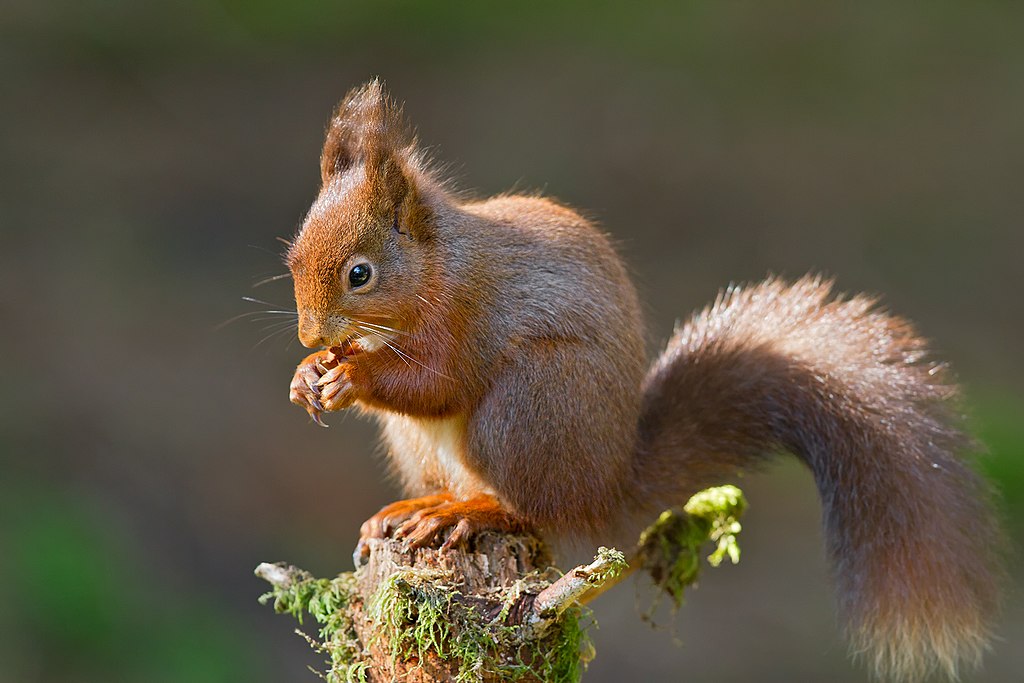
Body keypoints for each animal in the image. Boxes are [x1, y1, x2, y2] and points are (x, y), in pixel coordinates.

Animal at [284, 81, 1003, 683]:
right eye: (292, 257)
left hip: (527, 407)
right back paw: (422, 505)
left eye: (360, 274)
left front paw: (350, 376)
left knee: (533, 507)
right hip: (424, 444)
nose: (311, 337)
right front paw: (306, 377)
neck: (435, 267)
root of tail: (607, 482)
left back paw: (469, 510)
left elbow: (436, 384)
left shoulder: (462, 319)